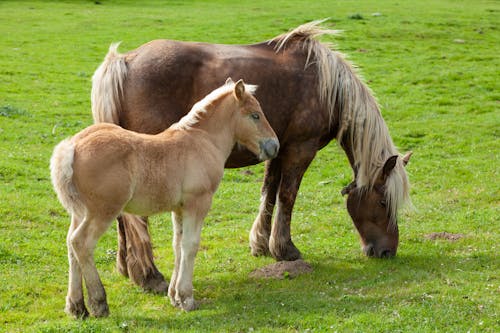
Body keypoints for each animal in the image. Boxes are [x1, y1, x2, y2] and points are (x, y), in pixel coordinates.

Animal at [50, 78, 280, 316]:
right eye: (255, 115)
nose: (274, 146)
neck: (202, 141)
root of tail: (72, 146)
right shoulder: (198, 203)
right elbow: (190, 245)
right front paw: (187, 298)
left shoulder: (179, 208)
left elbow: (177, 245)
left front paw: (174, 296)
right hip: (103, 212)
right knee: (81, 243)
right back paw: (99, 303)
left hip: (80, 212)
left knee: (70, 245)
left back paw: (76, 307)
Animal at [92, 20, 412, 290]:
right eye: (383, 202)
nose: (388, 251)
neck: (326, 86)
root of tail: (124, 61)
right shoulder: (300, 149)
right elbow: (287, 197)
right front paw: (285, 249)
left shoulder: (277, 149)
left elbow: (268, 193)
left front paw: (260, 244)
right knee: (136, 219)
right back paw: (148, 275)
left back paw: (126, 267)